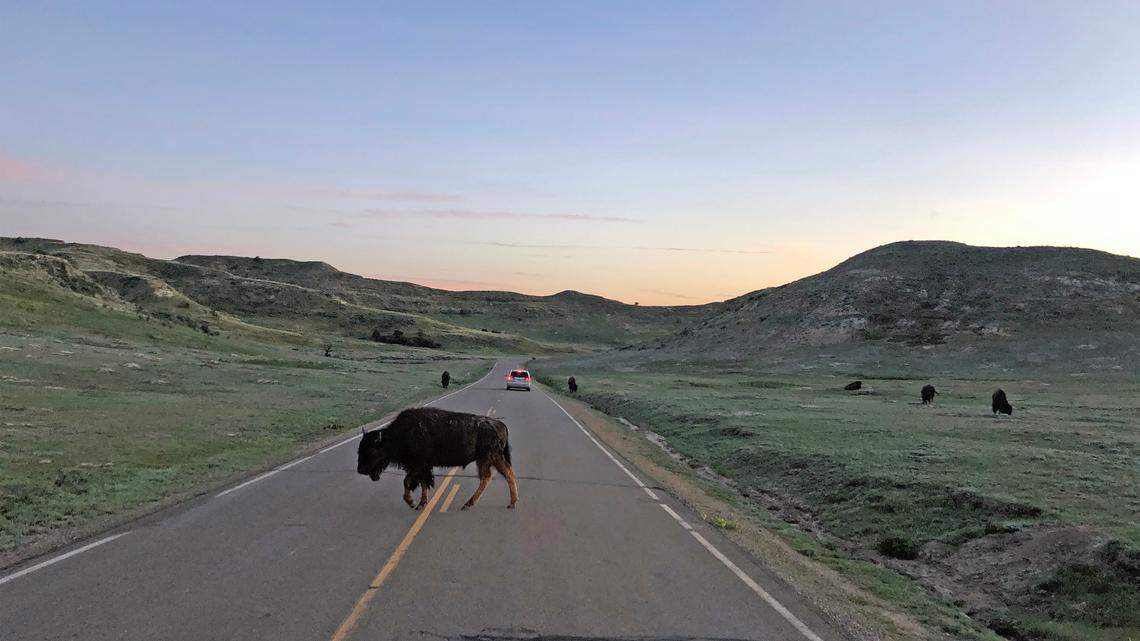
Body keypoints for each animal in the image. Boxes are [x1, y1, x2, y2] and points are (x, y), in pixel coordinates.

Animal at [356, 407, 518, 510]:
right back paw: (470, 504)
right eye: (359, 450)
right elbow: (423, 483)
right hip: (484, 459)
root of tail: (500, 424)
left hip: (491, 457)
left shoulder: (418, 465)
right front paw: (421, 503)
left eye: (370, 451)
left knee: (506, 474)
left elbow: (407, 482)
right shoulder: (423, 467)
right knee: (488, 477)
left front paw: (412, 502)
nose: (360, 470)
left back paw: (511, 503)